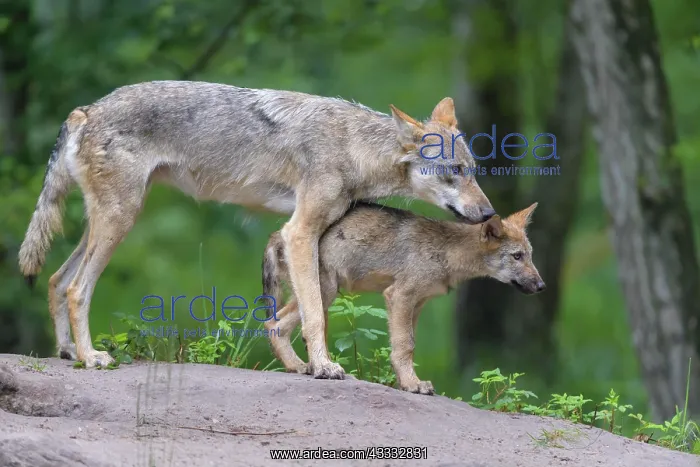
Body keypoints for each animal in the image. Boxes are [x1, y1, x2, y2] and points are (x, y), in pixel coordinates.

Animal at [17, 80, 495, 372]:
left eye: (473, 170)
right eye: (456, 171)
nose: (489, 213)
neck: (355, 148)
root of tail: (86, 109)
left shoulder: (308, 235)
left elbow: (294, 314)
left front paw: (303, 366)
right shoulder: (299, 232)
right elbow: (315, 315)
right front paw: (323, 367)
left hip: (110, 221)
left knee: (57, 280)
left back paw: (67, 352)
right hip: (120, 221)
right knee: (77, 288)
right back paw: (91, 356)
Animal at [262, 201, 545, 394]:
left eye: (530, 256)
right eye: (517, 256)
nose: (542, 285)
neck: (447, 252)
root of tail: (276, 235)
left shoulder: (418, 303)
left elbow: (406, 345)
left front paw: (406, 381)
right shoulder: (399, 296)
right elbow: (405, 346)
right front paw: (412, 384)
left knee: (276, 325)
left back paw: (301, 367)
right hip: (326, 293)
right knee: (275, 324)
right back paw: (315, 368)